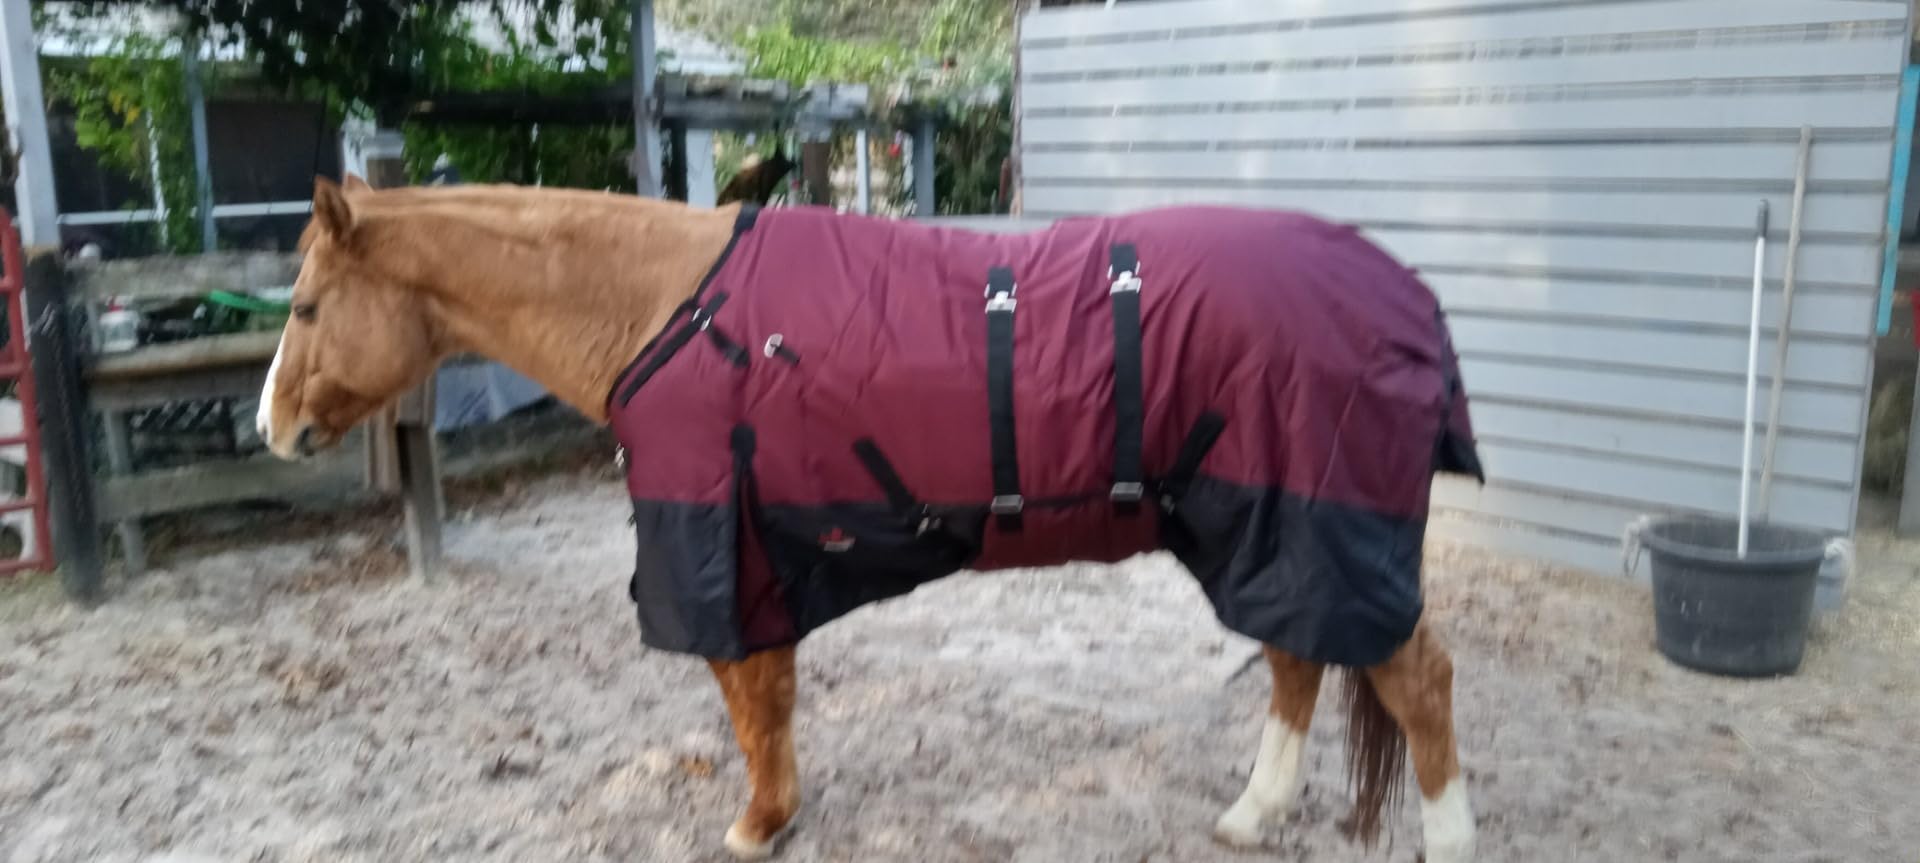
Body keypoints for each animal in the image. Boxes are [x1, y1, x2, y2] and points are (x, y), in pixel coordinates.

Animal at [258, 175, 1481, 862]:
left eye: (308, 304)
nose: (272, 425)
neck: (668, 311)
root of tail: (1407, 293)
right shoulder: (763, 552)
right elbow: (773, 701)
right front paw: (779, 813)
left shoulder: (724, 554)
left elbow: (753, 705)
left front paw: (757, 823)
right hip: (1262, 531)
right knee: (1298, 657)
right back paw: (1250, 814)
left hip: (1314, 524)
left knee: (1415, 677)